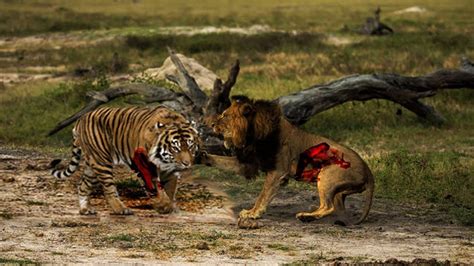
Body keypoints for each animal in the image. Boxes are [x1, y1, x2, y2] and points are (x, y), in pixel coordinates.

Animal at [50, 105, 200, 215]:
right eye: (175, 147)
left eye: (190, 145)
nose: (187, 164)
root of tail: (80, 119)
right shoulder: (142, 163)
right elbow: (155, 185)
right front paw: (163, 205)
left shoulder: (169, 169)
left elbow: (170, 187)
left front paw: (170, 206)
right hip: (102, 161)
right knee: (108, 188)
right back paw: (121, 209)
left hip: (92, 163)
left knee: (83, 185)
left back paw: (85, 210)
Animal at [214, 95, 374, 224]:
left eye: (224, 115)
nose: (212, 124)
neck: (252, 135)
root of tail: (368, 171)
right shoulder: (251, 163)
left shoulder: (277, 172)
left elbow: (263, 195)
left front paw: (252, 213)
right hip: (338, 189)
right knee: (336, 207)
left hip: (327, 175)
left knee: (329, 206)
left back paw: (305, 216)